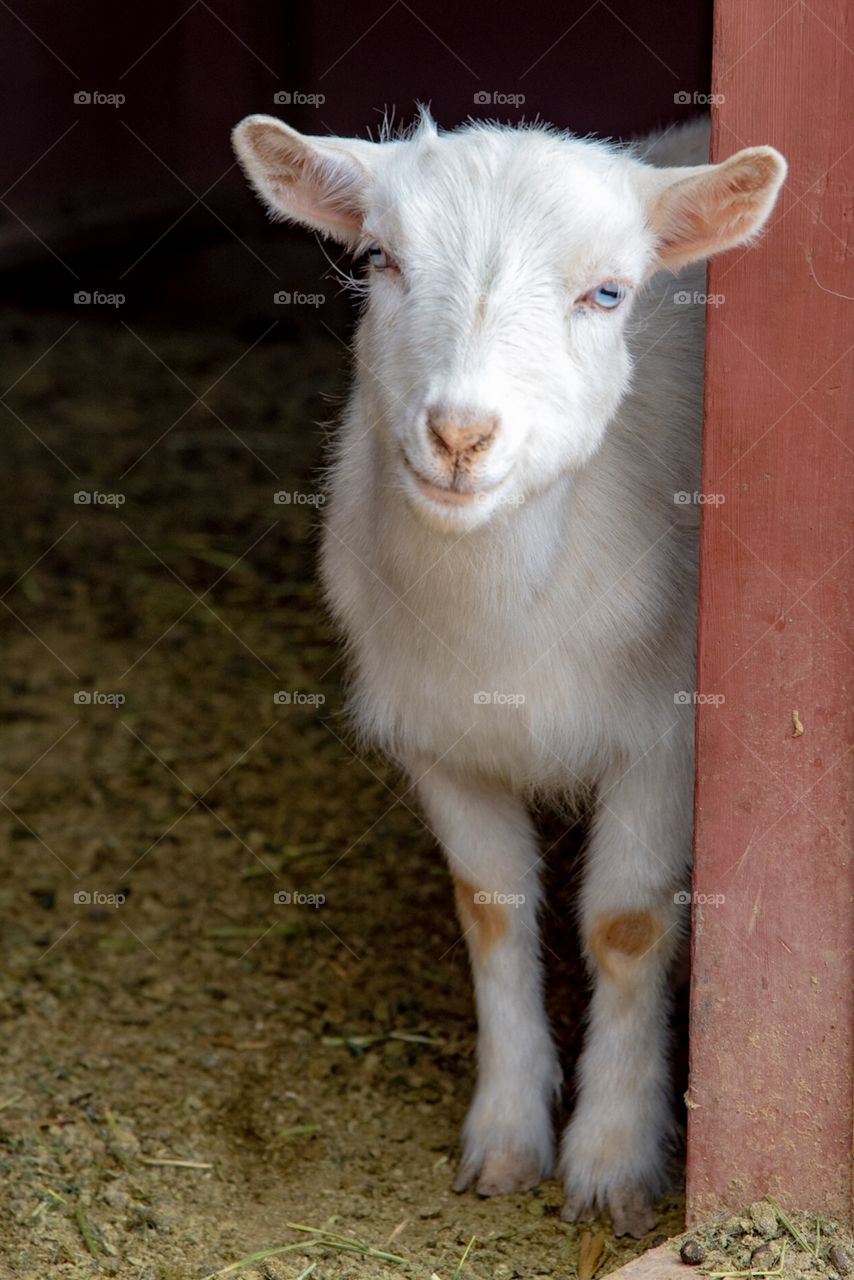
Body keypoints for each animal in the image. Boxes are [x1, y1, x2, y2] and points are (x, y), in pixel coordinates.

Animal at [233, 109, 785, 1237]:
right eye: (379, 258)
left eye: (608, 293)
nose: (459, 433)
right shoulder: (439, 739)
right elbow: (490, 909)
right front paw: (505, 1133)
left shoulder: (665, 738)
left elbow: (624, 925)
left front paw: (612, 1155)